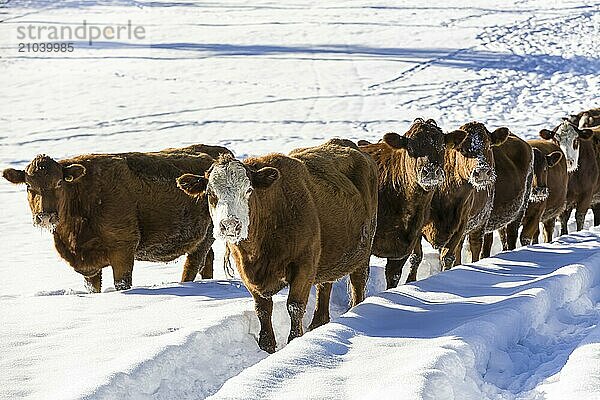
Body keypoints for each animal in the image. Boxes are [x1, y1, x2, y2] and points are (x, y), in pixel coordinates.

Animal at [1, 144, 232, 290]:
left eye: (59, 183)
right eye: (29, 186)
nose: (45, 216)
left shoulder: (123, 249)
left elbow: (122, 284)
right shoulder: (89, 268)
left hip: (206, 237)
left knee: (193, 265)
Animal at [176, 139, 378, 352]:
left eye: (249, 190)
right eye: (210, 193)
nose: (230, 225)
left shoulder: (304, 264)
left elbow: (295, 306)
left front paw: (294, 341)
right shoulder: (247, 274)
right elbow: (263, 310)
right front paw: (266, 346)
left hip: (363, 251)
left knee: (357, 284)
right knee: (324, 287)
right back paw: (318, 323)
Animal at [408, 122, 506, 278]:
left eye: (488, 145)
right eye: (462, 149)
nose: (482, 172)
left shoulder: (460, 225)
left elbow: (448, 257)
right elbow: (416, 257)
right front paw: (410, 281)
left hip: (480, 223)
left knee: (475, 246)